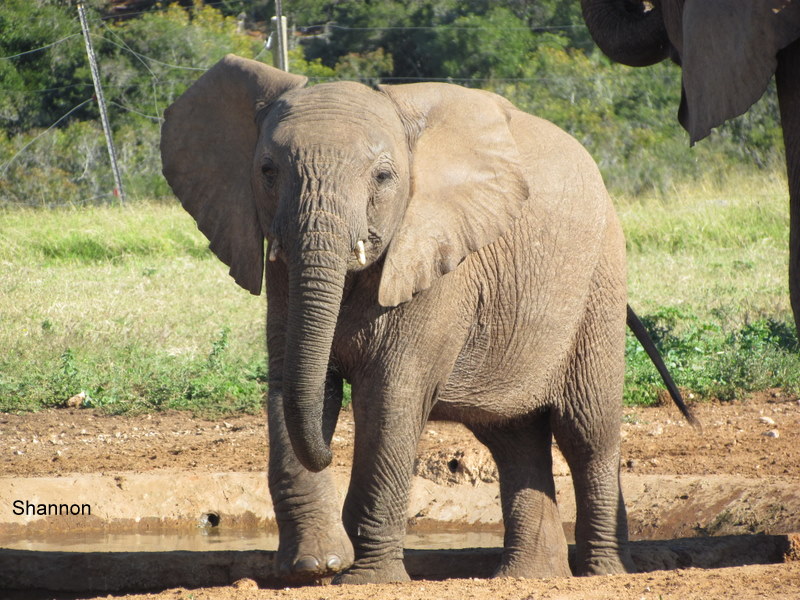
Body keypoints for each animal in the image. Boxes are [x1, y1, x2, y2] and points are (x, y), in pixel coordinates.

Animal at [160, 54, 691, 584]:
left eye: (383, 177)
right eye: (267, 171)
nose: (330, 454)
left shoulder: (439, 260)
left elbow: (390, 395)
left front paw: (364, 578)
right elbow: (292, 386)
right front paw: (314, 567)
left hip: (599, 281)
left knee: (587, 430)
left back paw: (604, 573)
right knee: (514, 437)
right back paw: (528, 577)